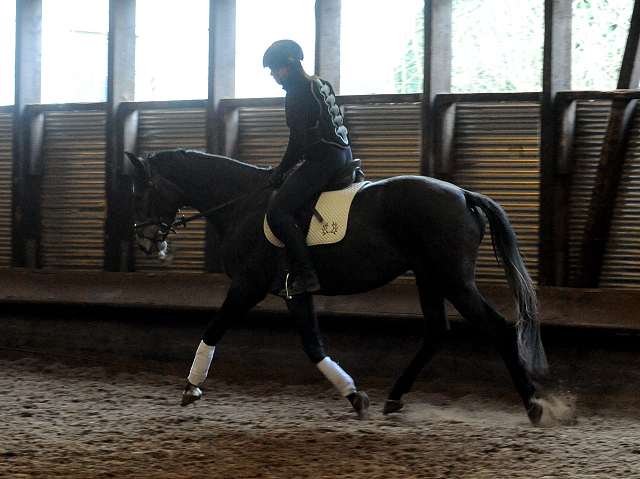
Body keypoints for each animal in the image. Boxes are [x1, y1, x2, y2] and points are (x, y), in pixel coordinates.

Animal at [126, 149, 552, 424]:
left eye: (141, 189)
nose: (146, 242)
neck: (240, 205)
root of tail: (463, 194)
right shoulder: (295, 292)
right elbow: (313, 346)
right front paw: (354, 396)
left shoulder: (248, 286)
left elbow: (213, 330)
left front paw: (190, 388)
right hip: (429, 277)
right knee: (436, 331)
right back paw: (394, 397)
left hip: (453, 280)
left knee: (499, 330)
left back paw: (534, 406)